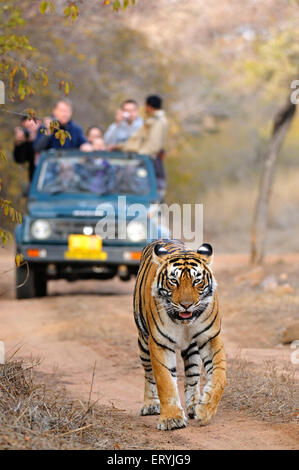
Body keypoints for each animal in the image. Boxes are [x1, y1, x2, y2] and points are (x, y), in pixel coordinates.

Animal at [134, 239, 227, 430]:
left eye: (197, 281)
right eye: (173, 281)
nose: (186, 305)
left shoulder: (210, 337)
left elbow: (220, 376)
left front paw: (205, 410)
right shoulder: (159, 343)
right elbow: (165, 381)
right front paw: (171, 419)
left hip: (192, 348)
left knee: (192, 376)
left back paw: (194, 405)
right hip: (143, 343)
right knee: (148, 374)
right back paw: (150, 404)